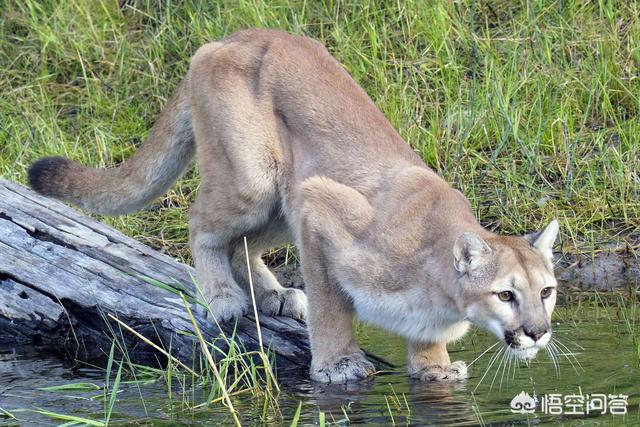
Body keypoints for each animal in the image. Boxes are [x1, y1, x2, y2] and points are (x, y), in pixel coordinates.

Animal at [28, 29, 560, 384]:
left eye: (547, 292)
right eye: (506, 295)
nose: (537, 333)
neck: (442, 293)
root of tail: (234, 36)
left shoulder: (309, 204)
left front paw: (435, 369)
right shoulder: (321, 206)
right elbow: (331, 304)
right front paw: (338, 365)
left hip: (283, 199)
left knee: (242, 242)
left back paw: (273, 295)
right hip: (255, 180)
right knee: (200, 222)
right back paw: (223, 296)